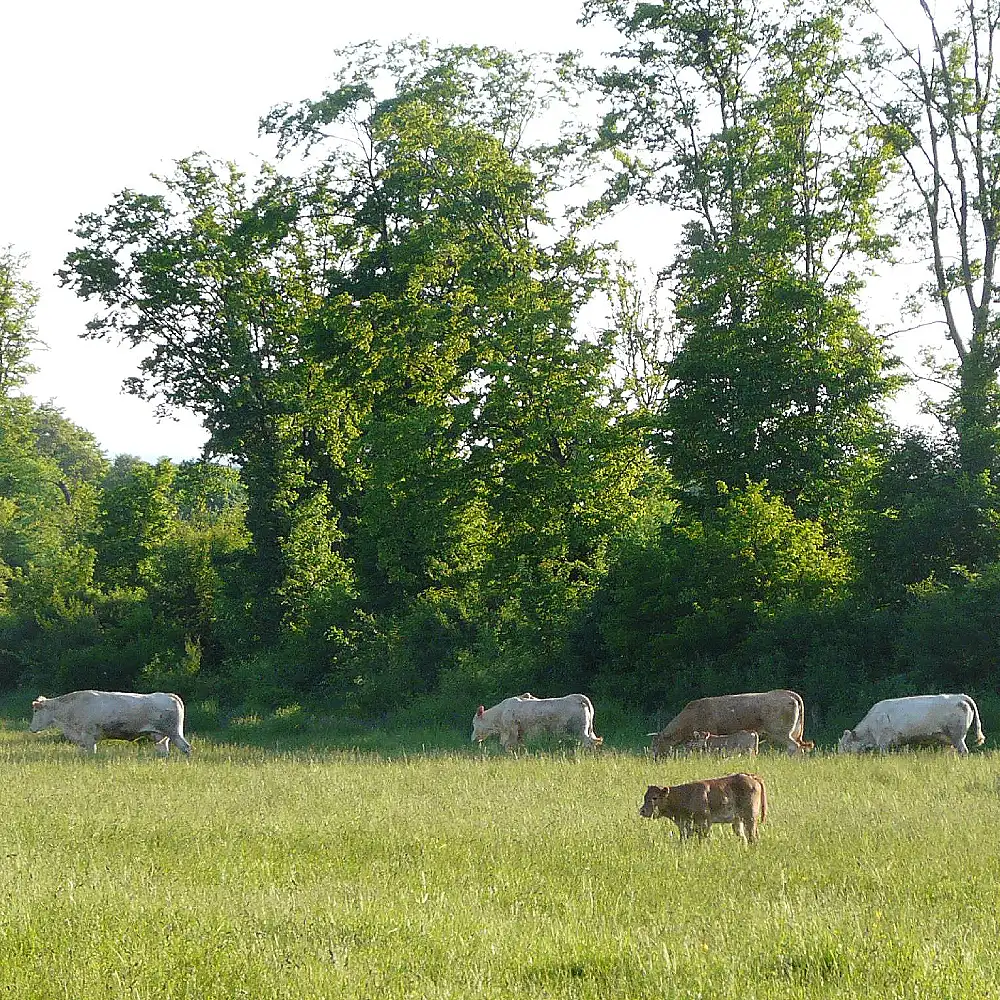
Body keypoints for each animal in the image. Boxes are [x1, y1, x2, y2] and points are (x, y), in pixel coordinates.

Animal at [29, 691, 192, 757]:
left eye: (36, 711)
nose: (31, 728)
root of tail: (170, 695)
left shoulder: (88, 736)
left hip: (174, 732)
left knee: (186, 747)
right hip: (160, 736)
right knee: (164, 750)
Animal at [471, 693, 603, 750]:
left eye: (473, 723)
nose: (473, 738)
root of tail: (576, 698)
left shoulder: (512, 731)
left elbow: (508, 745)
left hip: (579, 730)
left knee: (588, 742)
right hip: (588, 730)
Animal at [638, 773, 767, 843]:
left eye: (654, 797)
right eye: (645, 797)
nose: (642, 810)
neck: (686, 795)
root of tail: (751, 776)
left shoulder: (704, 823)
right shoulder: (685, 825)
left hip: (750, 818)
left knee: (752, 837)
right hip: (738, 821)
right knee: (744, 838)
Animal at [651, 690, 811, 757]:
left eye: (656, 744)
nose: (654, 757)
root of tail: (788, 693)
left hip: (781, 732)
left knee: (794, 746)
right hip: (794, 732)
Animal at [838, 694, 985, 755]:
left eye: (844, 745)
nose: (839, 757)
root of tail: (959, 696)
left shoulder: (883, 742)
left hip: (957, 736)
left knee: (964, 751)